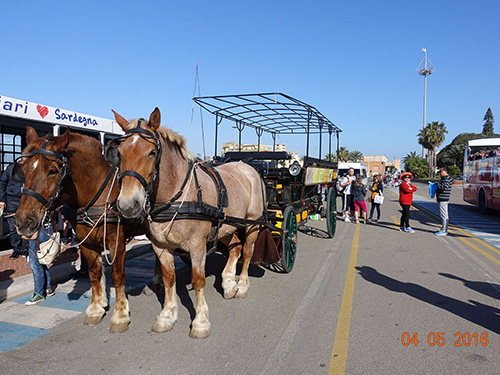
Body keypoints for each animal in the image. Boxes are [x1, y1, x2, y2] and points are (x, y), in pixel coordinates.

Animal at [14, 127, 139, 334]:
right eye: (22, 170)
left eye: (52, 171)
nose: (23, 221)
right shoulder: (86, 242)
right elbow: (94, 274)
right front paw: (96, 308)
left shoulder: (116, 240)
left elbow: (117, 274)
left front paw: (120, 315)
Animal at [109, 108, 266, 340]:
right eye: (119, 152)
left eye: (151, 152)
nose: (128, 204)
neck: (177, 194)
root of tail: (247, 166)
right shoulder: (161, 247)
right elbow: (168, 279)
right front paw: (167, 315)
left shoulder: (197, 246)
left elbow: (198, 279)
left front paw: (200, 321)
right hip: (226, 225)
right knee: (235, 249)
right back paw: (229, 283)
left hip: (252, 223)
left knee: (247, 251)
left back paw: (243, 284)